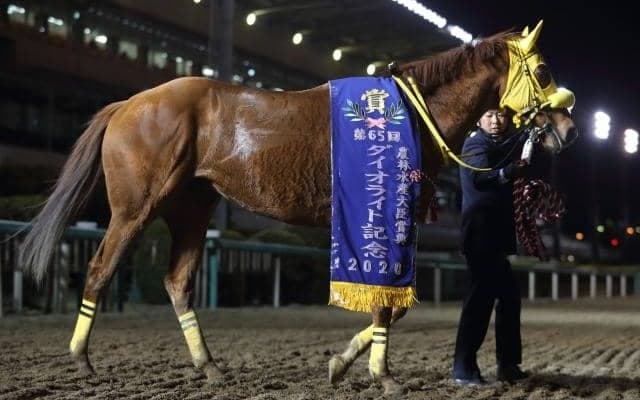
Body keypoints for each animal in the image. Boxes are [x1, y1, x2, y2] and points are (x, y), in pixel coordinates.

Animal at [20, 21, 575, 394]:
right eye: (544, 70)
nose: (568, 130)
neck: (409, 116)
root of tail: (128, 104)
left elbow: (391, 307)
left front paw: (341, 363)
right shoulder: (386, 216)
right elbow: (388, 304)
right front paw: (380, 373)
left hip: (191, 207)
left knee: (177, 281)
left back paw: (210, 366)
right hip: (136, 207)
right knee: (99, 268)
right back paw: (81, 359)